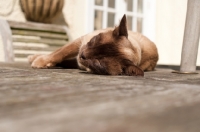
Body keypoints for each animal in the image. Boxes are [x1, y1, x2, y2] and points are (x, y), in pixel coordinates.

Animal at [28, 14, 159, 76]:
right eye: (95, 40)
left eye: (98, 62)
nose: (82, 55)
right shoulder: (81, 42)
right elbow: (60, 52)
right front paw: (41, 61)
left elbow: (62, 58)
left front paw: (44, 63)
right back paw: (34, 57)